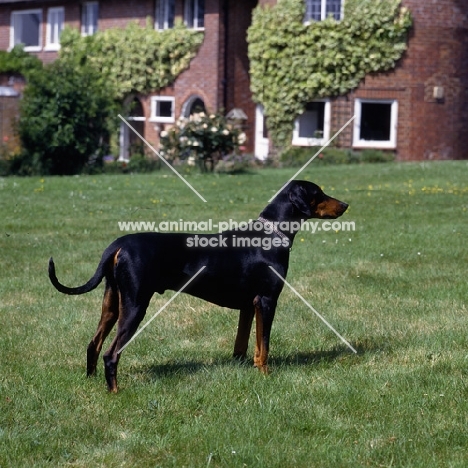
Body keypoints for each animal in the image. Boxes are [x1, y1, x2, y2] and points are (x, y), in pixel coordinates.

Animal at [48, 181, 348, 394]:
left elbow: (242, 344)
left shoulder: (248, 305)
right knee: (111, 354)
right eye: (318, 193)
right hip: (134, 306)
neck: (270, 234)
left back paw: (91, 382)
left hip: (112, 303)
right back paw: (114, 392)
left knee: (93, 344)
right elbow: (263, 346)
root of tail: (117, 245)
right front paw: (266, 376)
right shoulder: (266, 300)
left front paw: (243, 369)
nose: (345, 204)